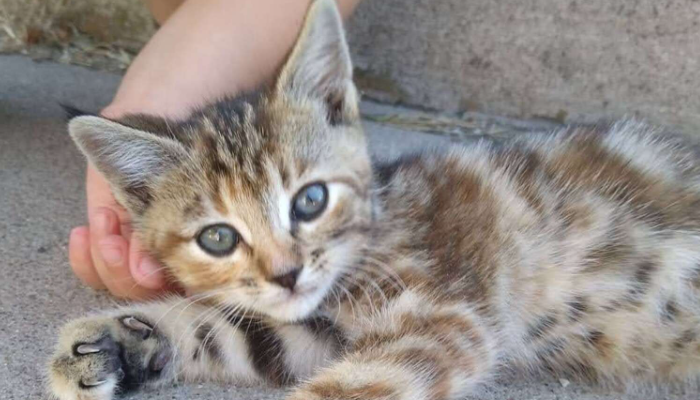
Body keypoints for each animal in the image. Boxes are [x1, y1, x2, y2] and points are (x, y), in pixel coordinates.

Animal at [49, 0, 700, 400]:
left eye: (310, 201)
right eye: (218, 237)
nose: (286, 274)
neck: (379, 224)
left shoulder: (446, 318)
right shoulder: (317, 329)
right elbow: (238, 332)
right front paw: (116, 341)